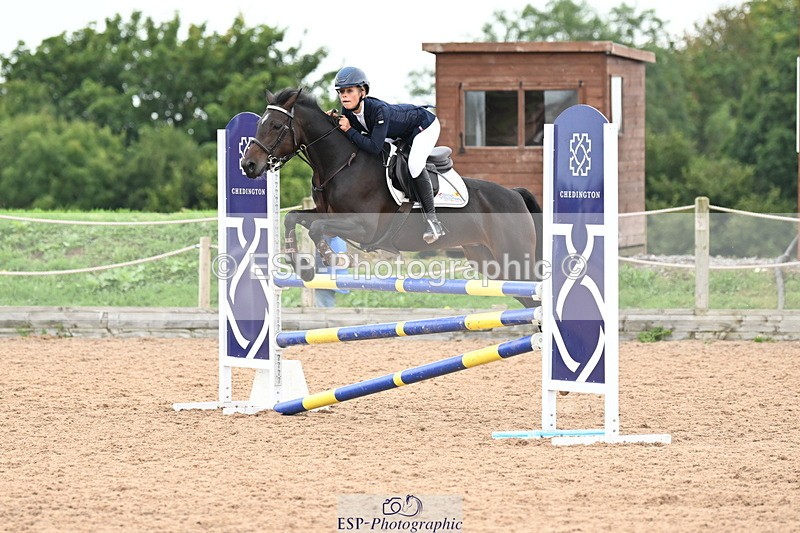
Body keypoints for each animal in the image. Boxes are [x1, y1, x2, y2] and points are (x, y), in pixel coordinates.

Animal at [240, 88, 543, 307]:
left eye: (276, 125)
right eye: (259, 125)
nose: (248, 165)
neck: (341, 163)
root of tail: (514, 194)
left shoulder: (363, 227)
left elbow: (316, 228)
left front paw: (333, 260)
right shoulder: (329, 214)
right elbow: (293, 218)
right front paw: (302, 268)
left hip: (515, 259)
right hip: (490, 262)